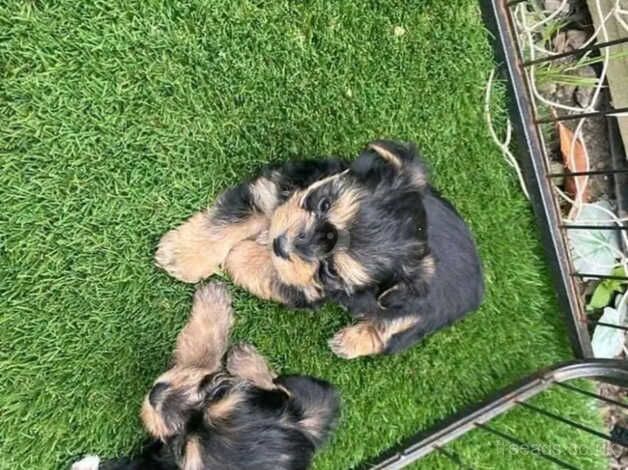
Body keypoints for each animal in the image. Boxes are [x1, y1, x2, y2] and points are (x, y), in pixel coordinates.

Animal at [155, 140, 484, 360]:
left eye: (331, 270)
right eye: (324, 203)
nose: (280, 243)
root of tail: (479, 286)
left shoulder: (311, 287)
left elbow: (274, 272)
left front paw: (243, 256)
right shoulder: (276, 189)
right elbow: (231, 219)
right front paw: (184, 254)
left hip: (420, 315)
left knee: (392, 331)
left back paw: (350, 342)